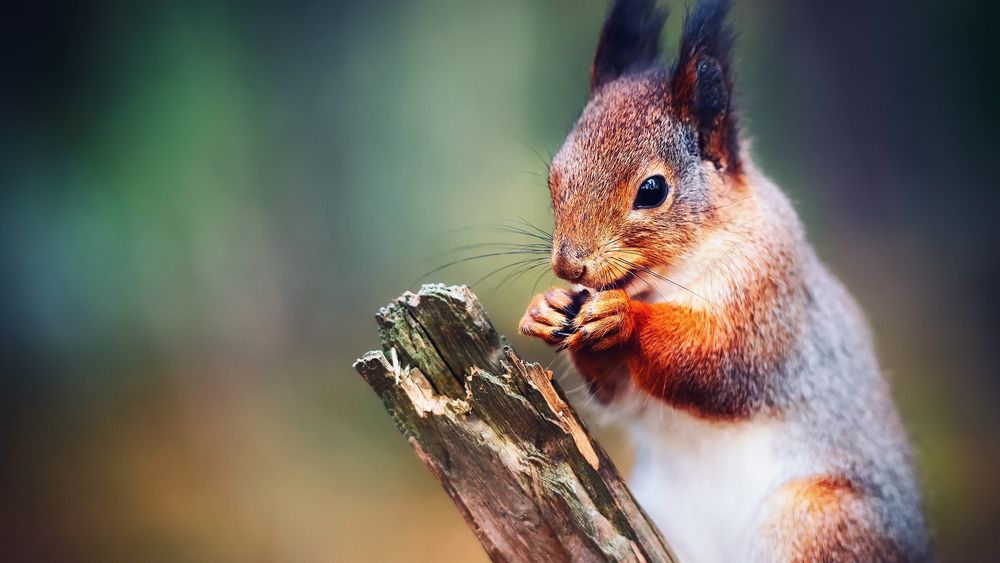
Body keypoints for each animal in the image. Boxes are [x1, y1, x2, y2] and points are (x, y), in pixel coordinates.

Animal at [517, 0, 931, 561]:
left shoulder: (771, 294)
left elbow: (721, 363)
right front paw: (546, 307)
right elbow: (618, 391)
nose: (570, 267)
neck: (669, 279)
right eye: (554, 177)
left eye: (652, 190)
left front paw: (623, 317)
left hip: (817, 522)